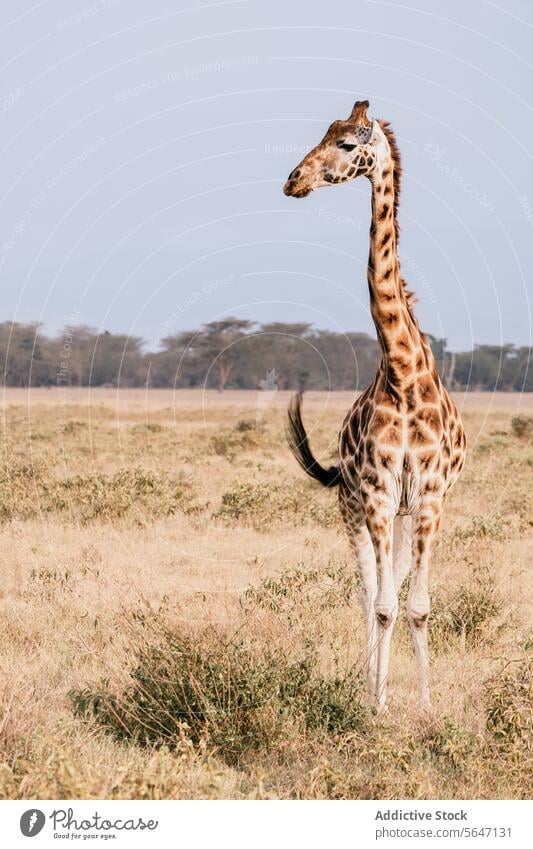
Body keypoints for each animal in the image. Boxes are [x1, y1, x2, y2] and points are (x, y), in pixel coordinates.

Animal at [282, 96, 466, 712]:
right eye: (323, 134)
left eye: (345, 143)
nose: (293, 180)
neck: (404, 371)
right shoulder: (380, 492)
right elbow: (383, 605)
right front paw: (377, 704)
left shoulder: (429, 496)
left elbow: (418, 606)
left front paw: (427, 707)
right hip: (354, 508)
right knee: (367, 595)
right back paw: (370, 683)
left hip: (405, 514)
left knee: (395, 588)